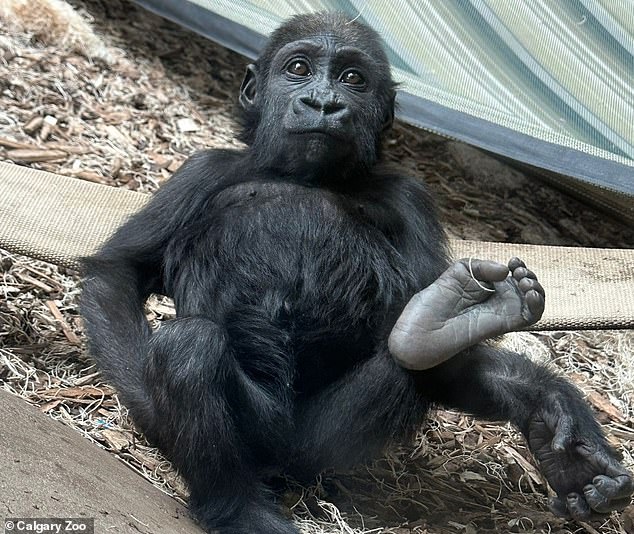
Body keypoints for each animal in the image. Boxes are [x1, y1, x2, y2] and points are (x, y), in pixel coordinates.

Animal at [80, 9, 632, 534]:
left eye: (352, 79)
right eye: (298, 69)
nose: (324, 103)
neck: (312, 177)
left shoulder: (410, 199)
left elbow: (443, 353)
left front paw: (547, 409)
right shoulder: (201, 173)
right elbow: (119, 273)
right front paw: (154, 417)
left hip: (319, 450)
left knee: (413, 363)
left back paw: (432, 328)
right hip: (259, 437)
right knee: (190, 348)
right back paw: (236, 506)